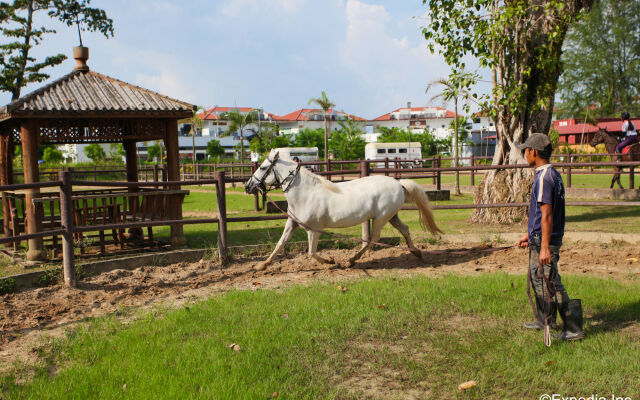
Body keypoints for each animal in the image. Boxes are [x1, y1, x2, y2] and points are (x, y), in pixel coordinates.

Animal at [242, 151, 442, 272]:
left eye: (262, 167)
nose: (247, 186)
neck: (305, 194)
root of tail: (399, 183)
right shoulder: (292, 223)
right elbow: (280, 244)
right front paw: (261, 265)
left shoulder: (313, 230)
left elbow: (311, 253)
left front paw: (331, 261)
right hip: (391, 216)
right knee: (405, 229)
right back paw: (416, 252)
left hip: (381, 218)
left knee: (373, 239)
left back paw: (350, 261)